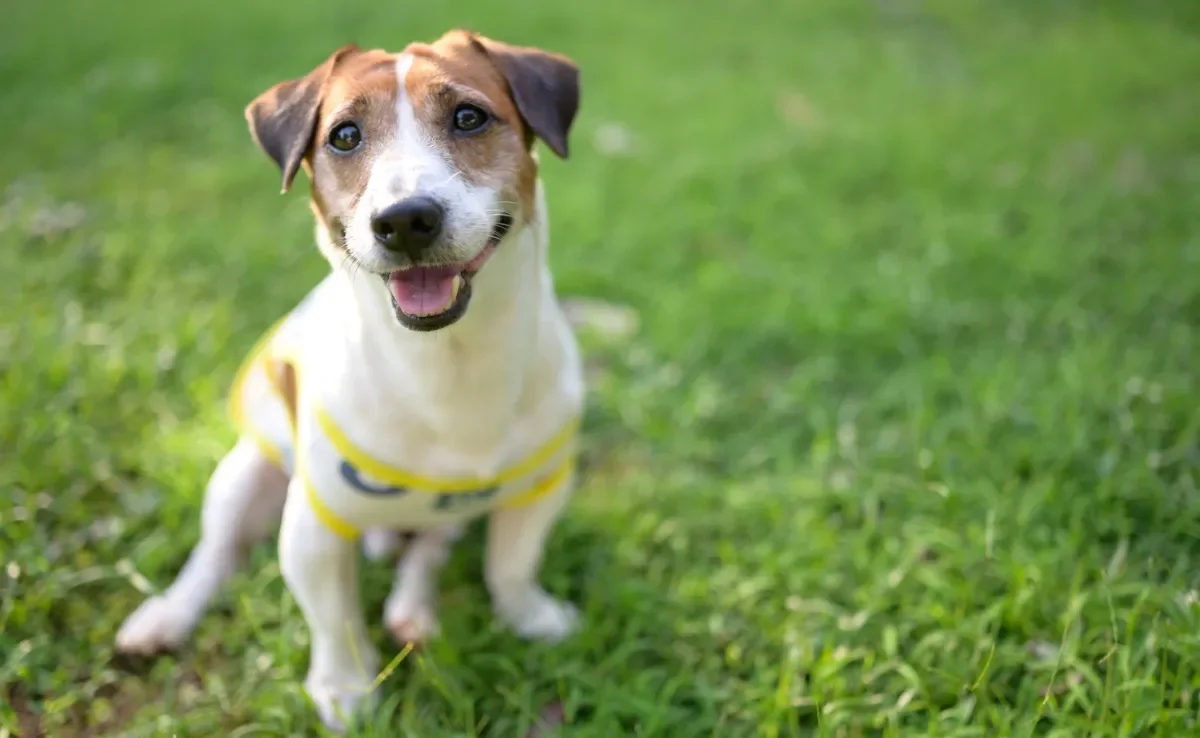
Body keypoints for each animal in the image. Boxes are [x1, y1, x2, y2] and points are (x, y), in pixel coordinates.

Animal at [114, 30, 583, 734]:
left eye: (469, 117)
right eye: (344, 135)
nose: (405, 219)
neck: (448, 364)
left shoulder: (538, 488)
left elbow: (511, 565)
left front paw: (529, 617)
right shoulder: (314, 524)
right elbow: (333, 619)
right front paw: (345, 690)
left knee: (432, 545)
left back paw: (414, 607)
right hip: (242, 474)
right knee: (216, 555)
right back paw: (167, 615)